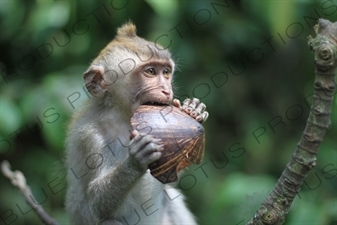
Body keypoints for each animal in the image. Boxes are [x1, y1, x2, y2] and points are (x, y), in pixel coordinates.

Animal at [64, 21, 207, 225]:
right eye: (150, 71)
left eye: (165, 72)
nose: (166, 90)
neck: (124, 118)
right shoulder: (90, 137)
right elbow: (96, 205)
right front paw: (136, 160)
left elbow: (169, 179)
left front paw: (193, 110)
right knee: (109, 221)